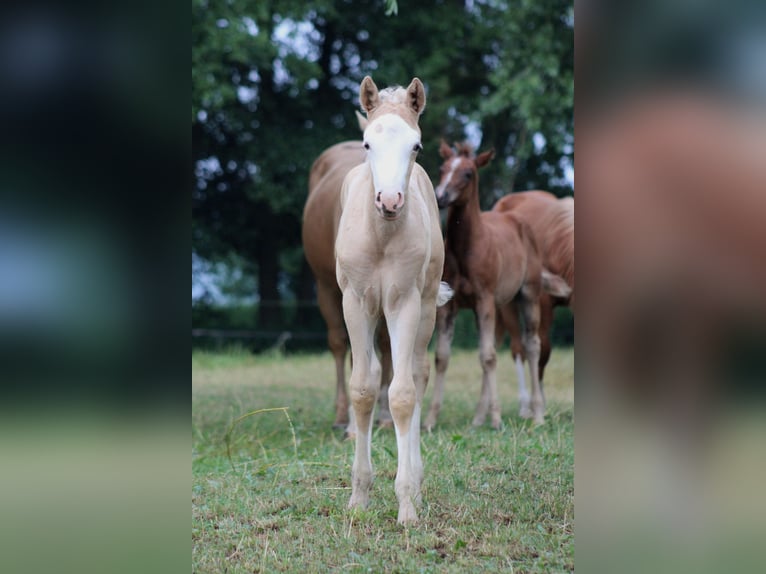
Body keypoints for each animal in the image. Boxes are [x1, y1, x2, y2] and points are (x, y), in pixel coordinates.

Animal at [302, 117, 395, 434]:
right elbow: (355, 350)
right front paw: (356, 421)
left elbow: (385, 345)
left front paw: (384, 414)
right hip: (325, 287)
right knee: (339, 344)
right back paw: (342, 415)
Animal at [335, 76, 449, 525]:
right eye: (367, 143)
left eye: (416, 146)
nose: (389, 201)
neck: (381, 236)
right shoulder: (355, 302)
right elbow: (363, 389)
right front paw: (358, 498)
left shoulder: (405, 303)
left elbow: (401, 393)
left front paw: (407, 506)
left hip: (427, 305)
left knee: (416, 375)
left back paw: (415, 484)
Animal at [424, 142, 569, 430]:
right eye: (443, 169)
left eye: (468, 173)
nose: (442, 196)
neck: (466, 248)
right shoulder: (450, 305)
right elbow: (443, 357)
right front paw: (431, 419)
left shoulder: (485, 299)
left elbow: (488, 356)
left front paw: (497, 418)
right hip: (505, 304)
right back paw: (478, 418)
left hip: (529, 294)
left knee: (531, 345)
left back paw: (537, 413)